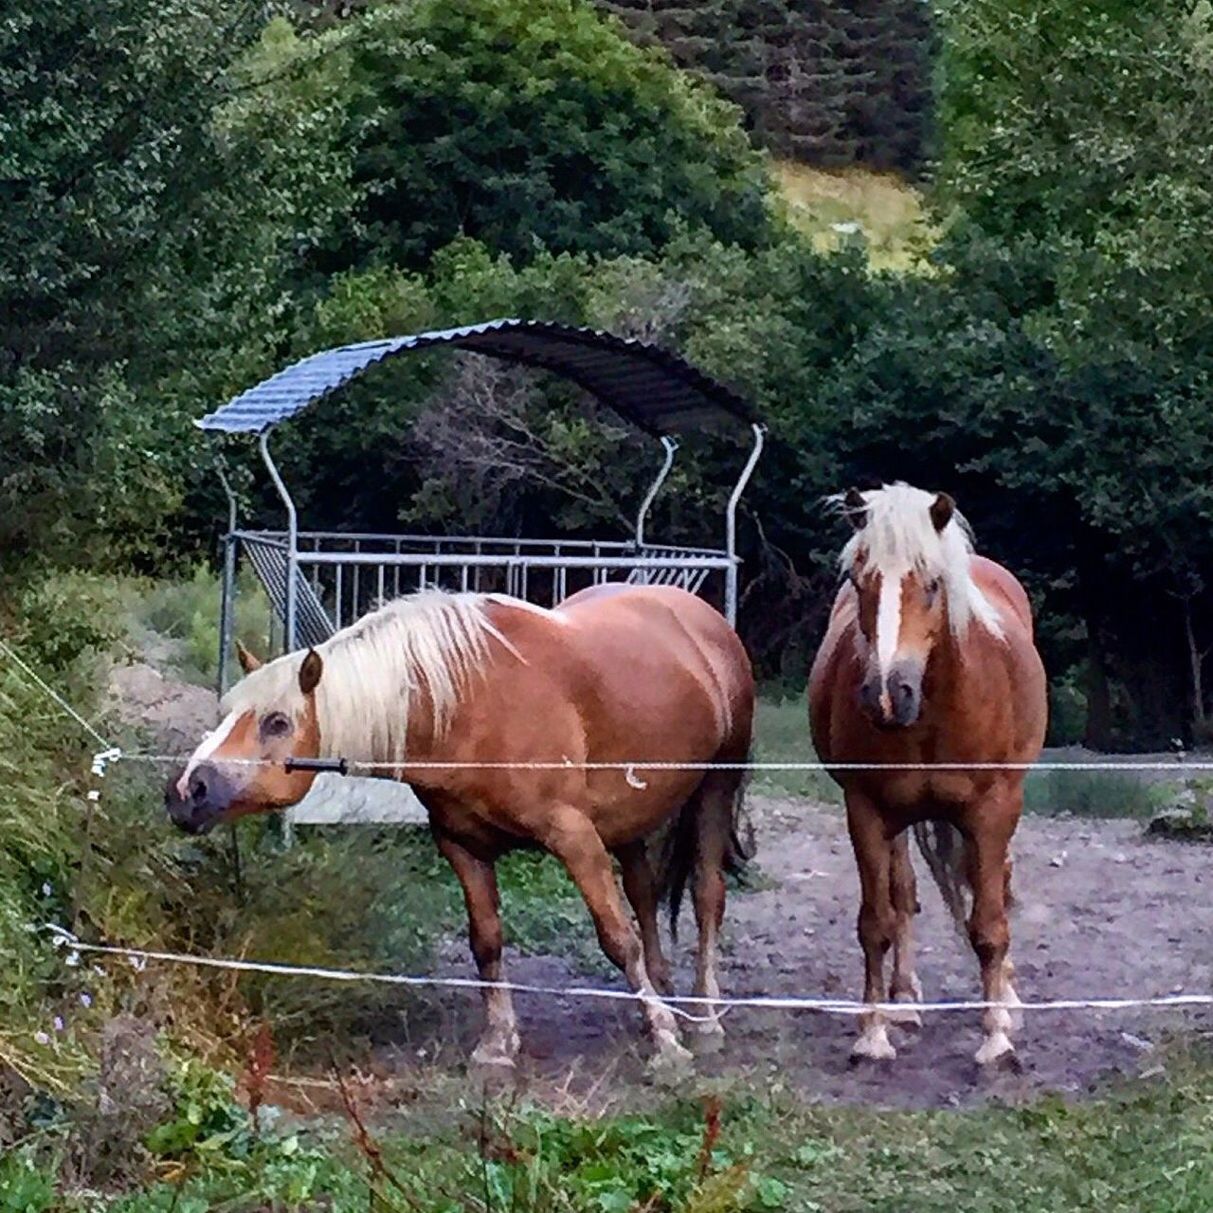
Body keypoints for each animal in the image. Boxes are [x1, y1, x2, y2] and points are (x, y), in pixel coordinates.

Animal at [161, 582, 747, 1067]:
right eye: (224, 714)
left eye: (278, 722)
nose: (186, 792)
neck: (470, 706)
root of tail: (701, 617)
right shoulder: (462, 846)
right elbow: (486, 942)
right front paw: (497, 1045)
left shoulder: (574, 837)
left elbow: (616, 937)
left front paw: (666, 1043)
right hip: (629, 818)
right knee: (645, 892)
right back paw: (666, 992)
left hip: (715, 790)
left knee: (706, 896)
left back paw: (704, 1019)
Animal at [810, 482, 1048, 1072]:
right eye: (860, 581)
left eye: (933, 584)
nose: (886, 695)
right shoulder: (867, 811)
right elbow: (877, 922)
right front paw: (872, 1035)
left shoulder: (992, 812)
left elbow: (988, 925)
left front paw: (996, 1038)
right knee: (905, 896)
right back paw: (904, 1000)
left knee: (996, 886)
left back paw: (1007, 997)